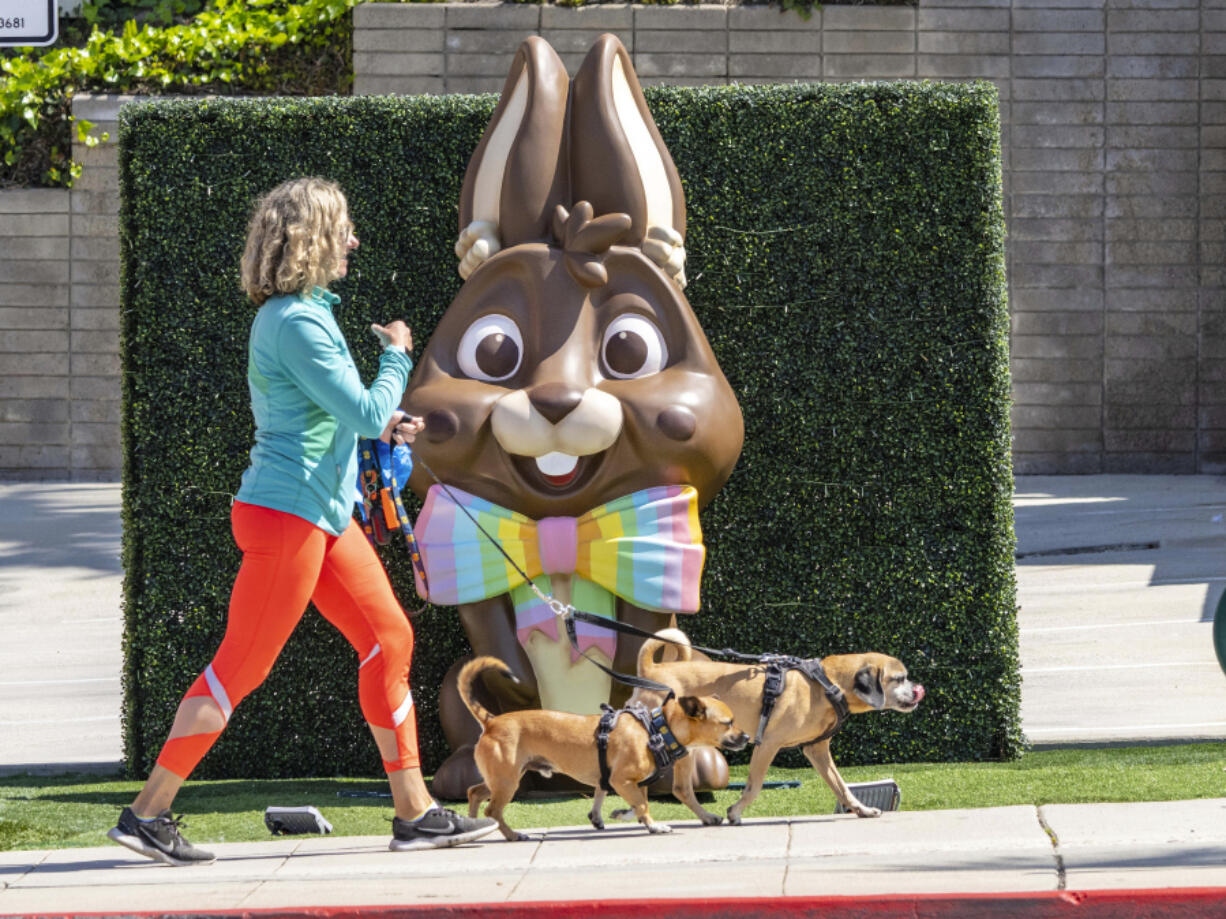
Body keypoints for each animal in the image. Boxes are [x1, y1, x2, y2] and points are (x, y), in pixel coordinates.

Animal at [460, 656, 745, 843]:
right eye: (728, 723)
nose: (746, 736)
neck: (657, 728)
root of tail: (492, 721)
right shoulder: (622, 780)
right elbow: (642, 805)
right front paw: (654, 826)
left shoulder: (632, 782)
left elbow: (633, 802)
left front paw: (620, 816)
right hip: (507, 780)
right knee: (493, 810)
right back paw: (512, 834)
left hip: (503, 778)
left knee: (475, 793)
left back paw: (474, 827)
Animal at [637, 632, 921, 828]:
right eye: (899, 678)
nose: (919, 689)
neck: (828, 683)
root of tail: (653, 669)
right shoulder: (768, 745)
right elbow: (754, 787)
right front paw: (736, 812)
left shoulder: (817, 750)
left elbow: (840, 785)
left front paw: (861, 809)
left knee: (681, 789)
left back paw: (706, 817)